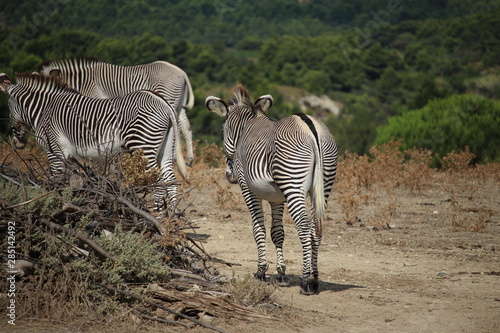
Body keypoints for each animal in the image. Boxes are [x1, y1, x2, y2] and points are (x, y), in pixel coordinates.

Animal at [0, 73, 188, 213]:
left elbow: (56, 180)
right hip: (165, 148)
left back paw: (158, 217)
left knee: (158, 183)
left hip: (143, 145)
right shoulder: (70, 156)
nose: (17, 144)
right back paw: (170, 221)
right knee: (171, 182)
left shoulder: (54, 149)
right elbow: (72, 181)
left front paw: (56, 206)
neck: (44, 109)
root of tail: (163, 102)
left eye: (8, 107)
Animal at [36, 58, 196, 166]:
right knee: (185, 126)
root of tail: (182, 72)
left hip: (169, 99)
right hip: (178, 104)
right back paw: (188, 161)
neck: (82, 81)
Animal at [205, 83, 338, 294]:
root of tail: (310, 128)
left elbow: (258, 229)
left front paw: (261, 271)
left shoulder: (248, 190)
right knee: (316, 228)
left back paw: (305, 281)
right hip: (323, 184)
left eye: (222, 130)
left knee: (304, 226)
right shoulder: (277, 198)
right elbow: (277, 232)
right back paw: (315, 279)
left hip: (292, 182)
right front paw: (281, 273)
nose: (229, 176)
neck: (246, 129)